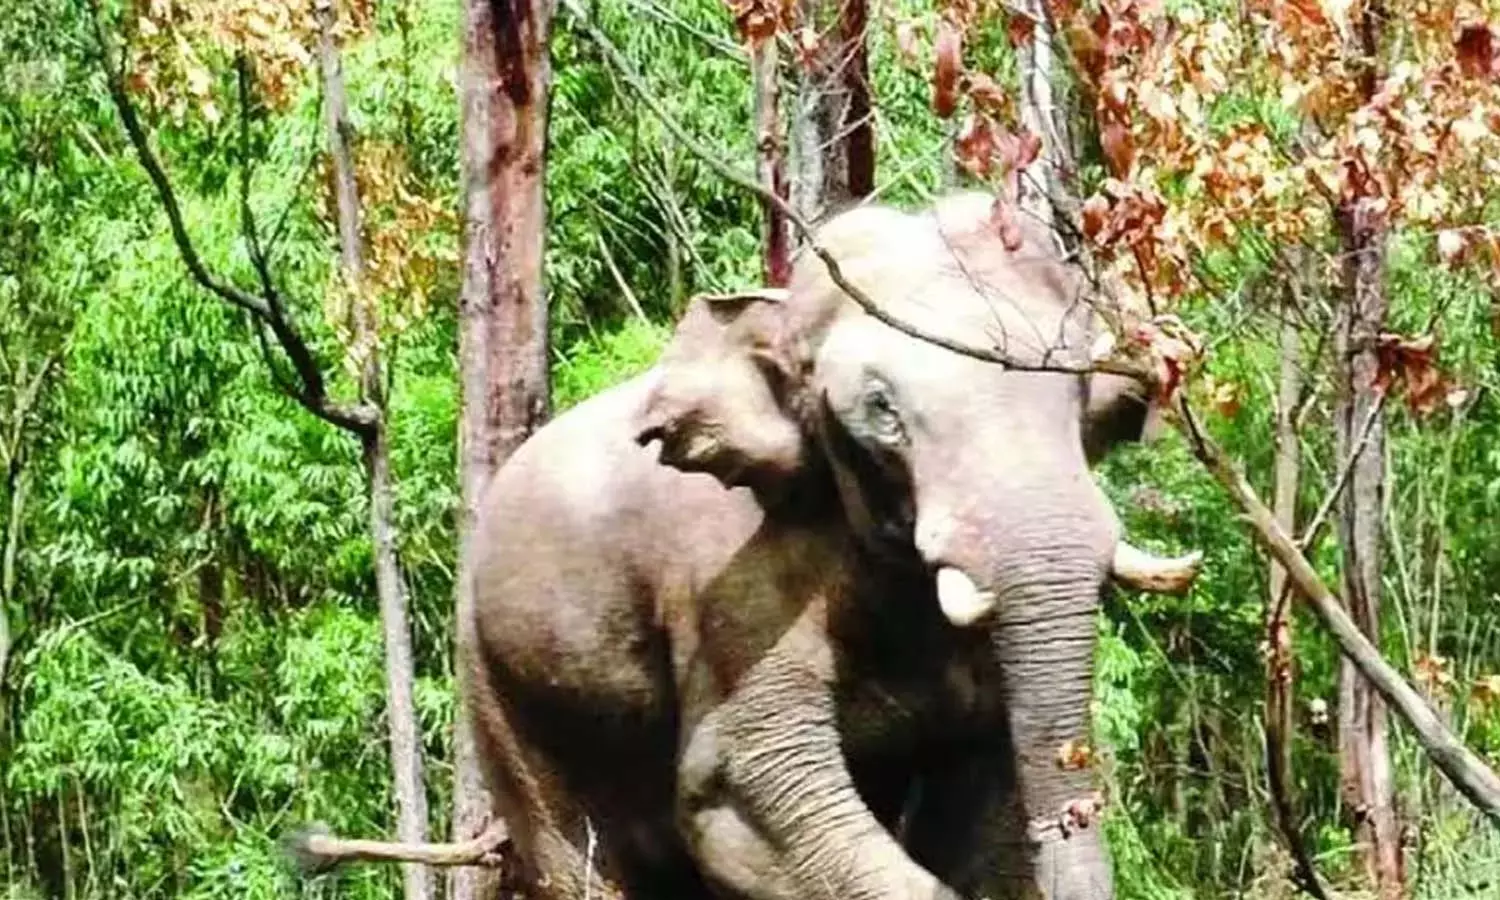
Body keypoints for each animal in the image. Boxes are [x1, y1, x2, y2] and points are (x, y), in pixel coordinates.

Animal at [462, 191, 1200, 900]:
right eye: (882, 409)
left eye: (1077, 383)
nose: (1076, 812)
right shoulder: (733, 585)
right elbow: (737, 788)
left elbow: (981, 786)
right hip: (500, 687)